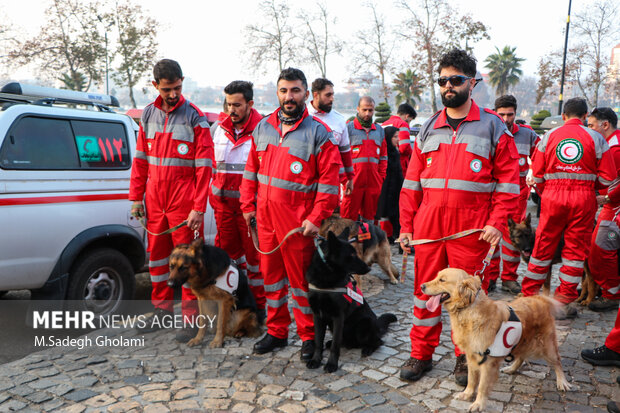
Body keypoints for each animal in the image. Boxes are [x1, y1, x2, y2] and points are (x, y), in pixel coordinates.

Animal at [306, 229, 398, 374]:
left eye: (356, 253)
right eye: (352, 255)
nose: (369, 268)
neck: (326, 277)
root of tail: (377, 326)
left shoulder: (338, 317)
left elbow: (335, 345)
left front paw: (331, 364)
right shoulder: (317, 315)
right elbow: (318, 341)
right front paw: (315, 360)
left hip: (365, 324)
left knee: (378, 342)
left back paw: (367, 349)